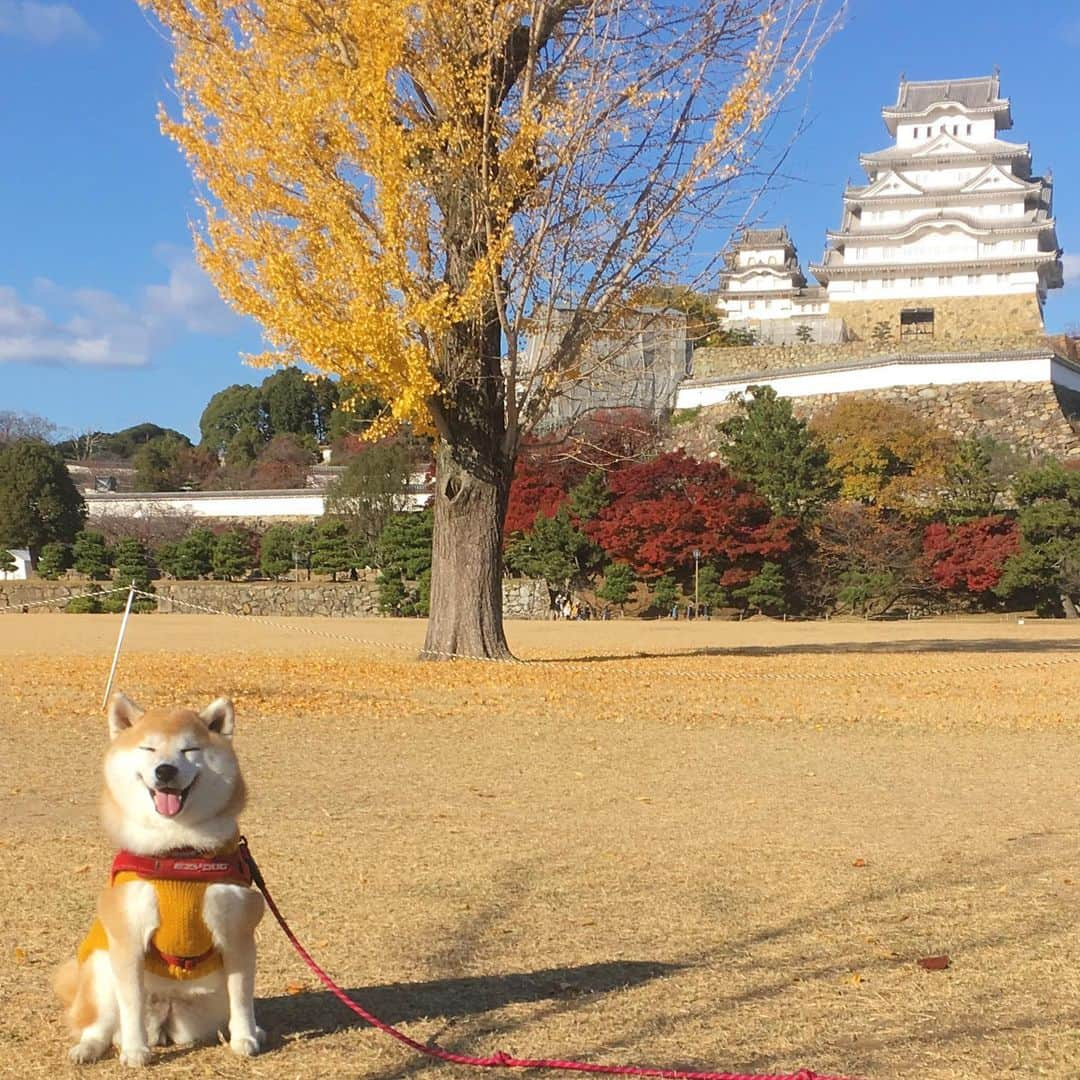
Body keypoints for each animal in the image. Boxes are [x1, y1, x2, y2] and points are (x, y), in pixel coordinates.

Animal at [55, 695, 265, 1067]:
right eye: (149, 748)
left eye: (190, 749)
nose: (165, 770)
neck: (177, 852)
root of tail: (166, 1020)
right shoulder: (128, 936)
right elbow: (132, 1005)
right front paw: (136, 1051)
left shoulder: (236, 933)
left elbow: (242, 997)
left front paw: (245, 1038)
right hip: (101, 968)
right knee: (100, 1026)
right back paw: (89, 1048)